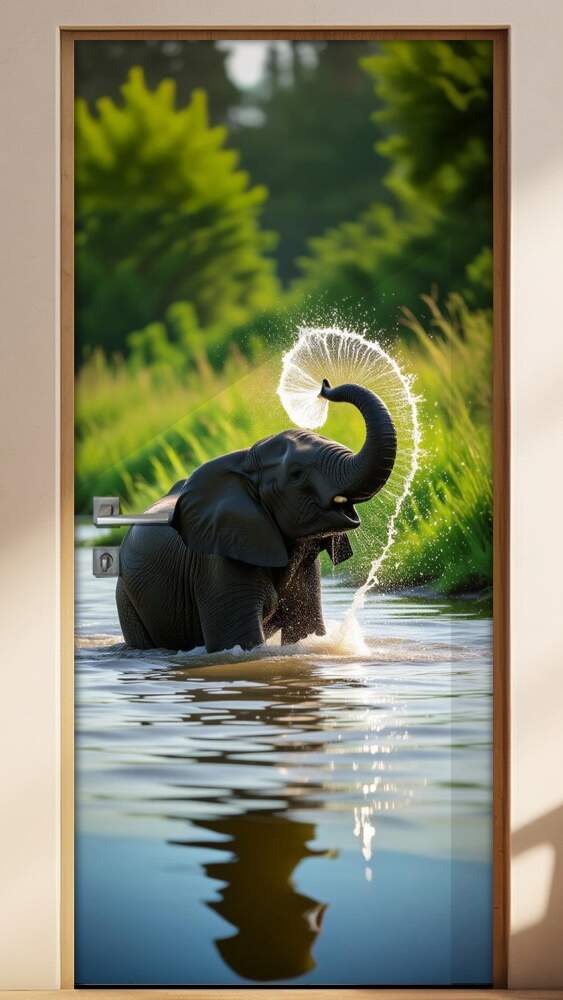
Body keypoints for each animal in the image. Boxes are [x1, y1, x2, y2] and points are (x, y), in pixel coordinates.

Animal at [116, 379, 397, 652]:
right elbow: (238, 642)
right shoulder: (219, 561)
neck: (245, 462)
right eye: (296, 474)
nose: (324, 385)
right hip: (126, 597)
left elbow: (305, 629)